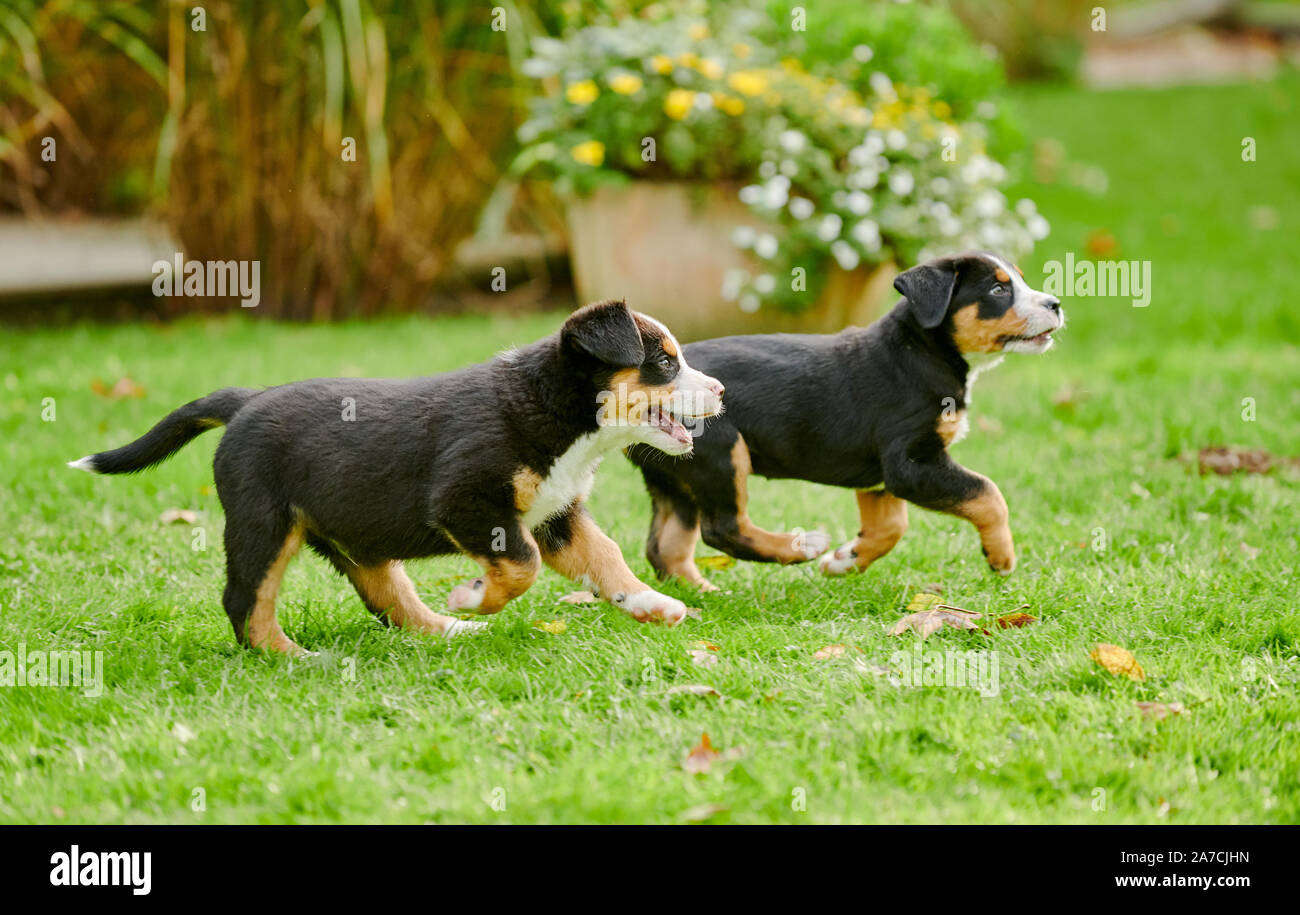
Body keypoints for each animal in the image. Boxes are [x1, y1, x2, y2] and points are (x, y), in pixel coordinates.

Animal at [71, 304, 728, 655]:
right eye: (663, 362)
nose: (721, 391)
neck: (558, 414)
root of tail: (247, 401)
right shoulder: (468, 501)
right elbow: (522, 565)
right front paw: (474, 595)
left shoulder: (557, 512)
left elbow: (605, 556)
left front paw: (650, 604)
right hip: (263, 523)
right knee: (246, 599)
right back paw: (293, 657)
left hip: (351, 535)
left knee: (386, 597)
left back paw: (446, 630)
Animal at [629, 253, 1066, 590]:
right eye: (998, 291)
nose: (1056, 304)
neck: (921, 353)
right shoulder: (911, 462)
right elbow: (988, 495)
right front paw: (1001, 556)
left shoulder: (883, 480)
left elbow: (891, 528)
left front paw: (847, 560)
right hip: (721, 450)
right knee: (723, 528)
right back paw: (801, 546)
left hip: (674, 473)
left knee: (666, 546)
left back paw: (699, 596)